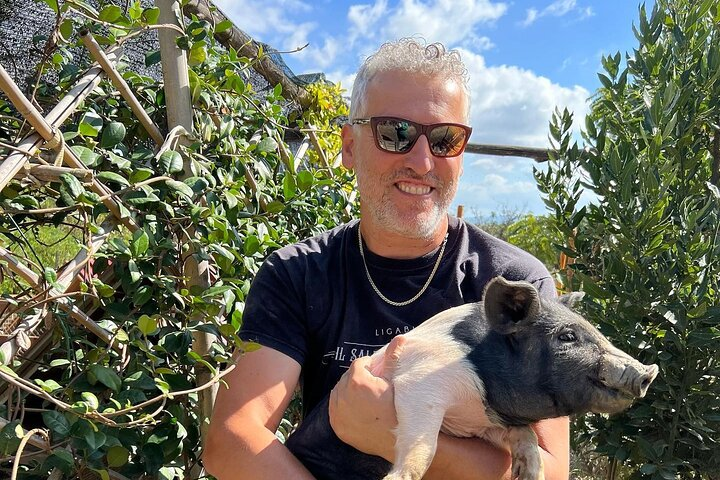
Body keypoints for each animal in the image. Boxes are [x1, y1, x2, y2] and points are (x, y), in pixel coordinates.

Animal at [285, 276, 659, 480]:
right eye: (567, 336)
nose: (648, 372)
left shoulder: (484, 424)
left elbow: (527, 438)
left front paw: (529, 474)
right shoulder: (421, 382)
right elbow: (424, 445)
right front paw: (397, 477)